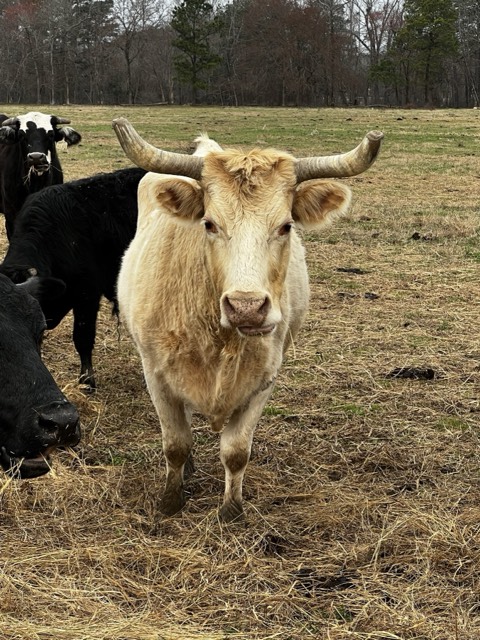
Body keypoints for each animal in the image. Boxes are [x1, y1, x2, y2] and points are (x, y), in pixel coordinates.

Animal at [112, 117, 383, 522]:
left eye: (286, 226)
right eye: (209, 224)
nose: (246, 307)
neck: (221, 340)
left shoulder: (264, 380)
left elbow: (236, 451)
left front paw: (231, 509)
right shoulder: (156, 374)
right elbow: (176, 444)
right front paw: (171, 500)